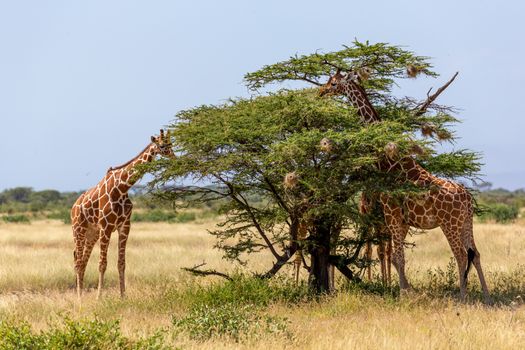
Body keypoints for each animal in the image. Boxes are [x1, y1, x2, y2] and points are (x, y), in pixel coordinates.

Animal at [70, 130, 174, 300]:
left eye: (171, 144)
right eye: (162, 145)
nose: (174, 156)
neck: (122, 187)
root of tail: (73, 206)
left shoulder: (125, 225)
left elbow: (121, 263)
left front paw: (123, 296)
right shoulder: (106, 227)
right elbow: (102, 264)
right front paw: (99, 298)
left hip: (92, 233)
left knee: (83, 261)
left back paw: (82, 295)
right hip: (78, 229)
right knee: (78, 262)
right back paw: (79, 298)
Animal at [320, 67, 492, 300]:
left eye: (334, 83)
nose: (321, 92)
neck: (389, 163)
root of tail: (466, 198)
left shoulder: (391, 213)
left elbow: (398, 256)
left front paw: (403, 293)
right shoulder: (401, 220)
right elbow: (396, 257)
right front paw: (407, 290)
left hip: (449, 223)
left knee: (461, 255)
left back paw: (462, 296)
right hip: (467, 221)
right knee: (476, 254)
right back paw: (487, 296)